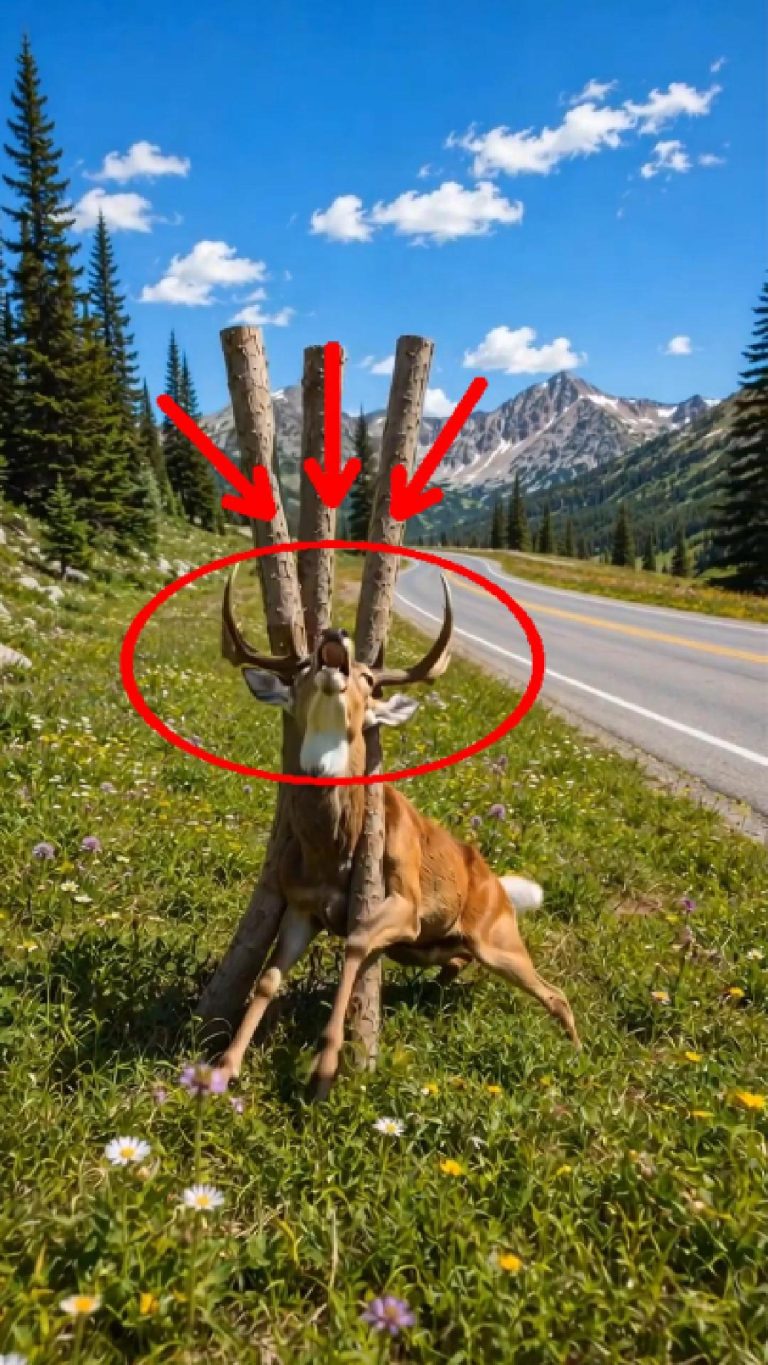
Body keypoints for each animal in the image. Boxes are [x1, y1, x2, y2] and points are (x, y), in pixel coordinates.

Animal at [217, 564, 580, 1098]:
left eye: (370, 678)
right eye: (299, 669)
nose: (335, 635)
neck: (332, 850)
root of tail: (497, 884)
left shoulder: (404, 899)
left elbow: (355, 942)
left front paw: (324, 1071)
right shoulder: (302, 904)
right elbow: (268, 978)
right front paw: (224, 1067)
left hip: (497, 938)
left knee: (555, 994)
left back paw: (576, 1052)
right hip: (435, 947)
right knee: (460, 963)